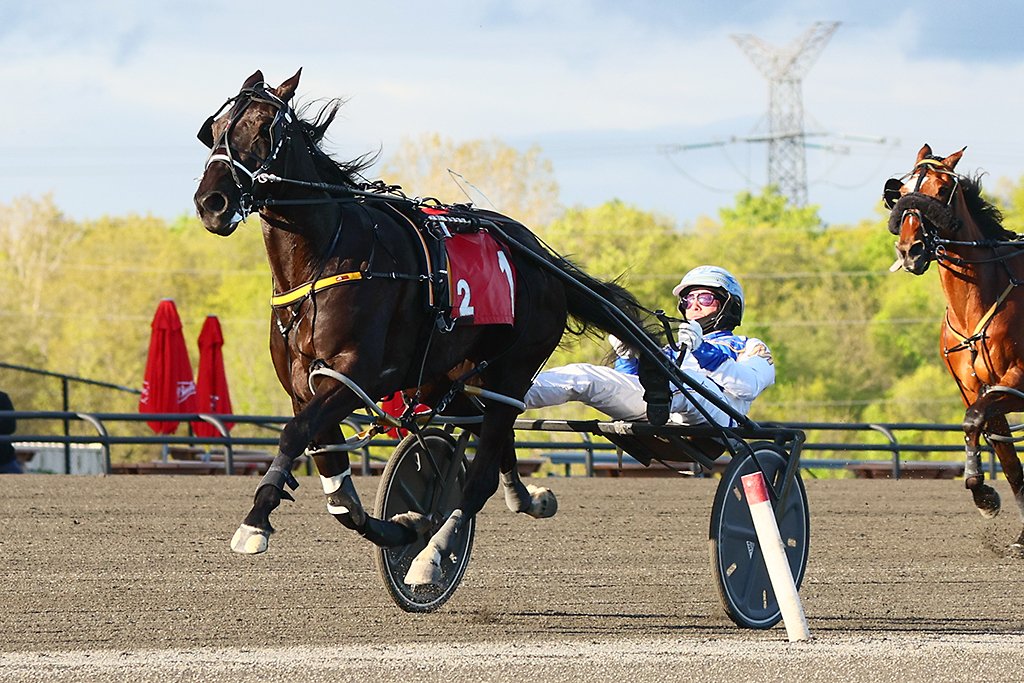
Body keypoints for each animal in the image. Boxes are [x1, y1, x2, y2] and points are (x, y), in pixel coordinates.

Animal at [193, 69, 666, 584]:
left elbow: (294, 434)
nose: (211, 202)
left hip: (514, 369)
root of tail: (540, 260)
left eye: (265, 128)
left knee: (479, 475)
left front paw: (254, 522)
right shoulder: (303, 383)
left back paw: (434, 554)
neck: (323, 259)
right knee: (490, 434)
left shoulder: (359, 375)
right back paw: (525, 498)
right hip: (453, 377)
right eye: (214, 129)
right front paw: (401, 526)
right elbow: (338, 490)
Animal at [888, 143, 1024, 552]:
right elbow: (1002, 451)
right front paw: (985, 496)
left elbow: (974, 421)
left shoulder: (1016, 381)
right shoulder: (975, 389)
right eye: (902, 192)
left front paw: (984, 495)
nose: (910, 250)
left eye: (942, 190)